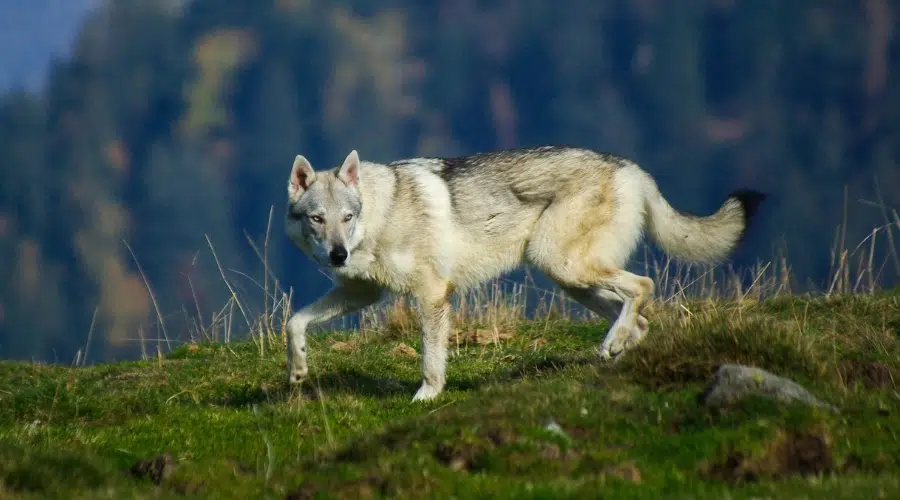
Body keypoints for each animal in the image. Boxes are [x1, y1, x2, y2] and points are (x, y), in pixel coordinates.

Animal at [284, 146, 768, 402]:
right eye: (318, 220)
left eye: (347, 217)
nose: (338, 255)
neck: (379, 217)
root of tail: (631, 169)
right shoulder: (360, 294)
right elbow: (294, 322)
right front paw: (298, 371)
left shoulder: (433, 294)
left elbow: (431, 359)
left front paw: (426, 397)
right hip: (572, 282)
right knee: (641, 317)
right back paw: (615, 353)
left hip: (561, 264)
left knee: (644, 286)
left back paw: (612, 345)